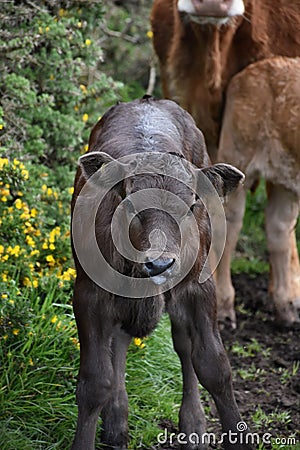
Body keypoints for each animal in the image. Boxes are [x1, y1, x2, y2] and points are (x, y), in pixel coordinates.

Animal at [70, 98, 251, 450]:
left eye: (192, 204)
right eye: (128, 203)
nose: (160, 264)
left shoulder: (199, 287)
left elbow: (214, 367)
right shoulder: (88, 293)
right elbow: (96, 381)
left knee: (184, 344)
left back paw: (193, 425)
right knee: (120, 340)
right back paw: (117, 422)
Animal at [151, 0, 300, 326]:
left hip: (284, 178)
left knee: (279, 226)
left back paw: (286, 307)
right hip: (239, 156)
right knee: (230, 220)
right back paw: (226, 304)